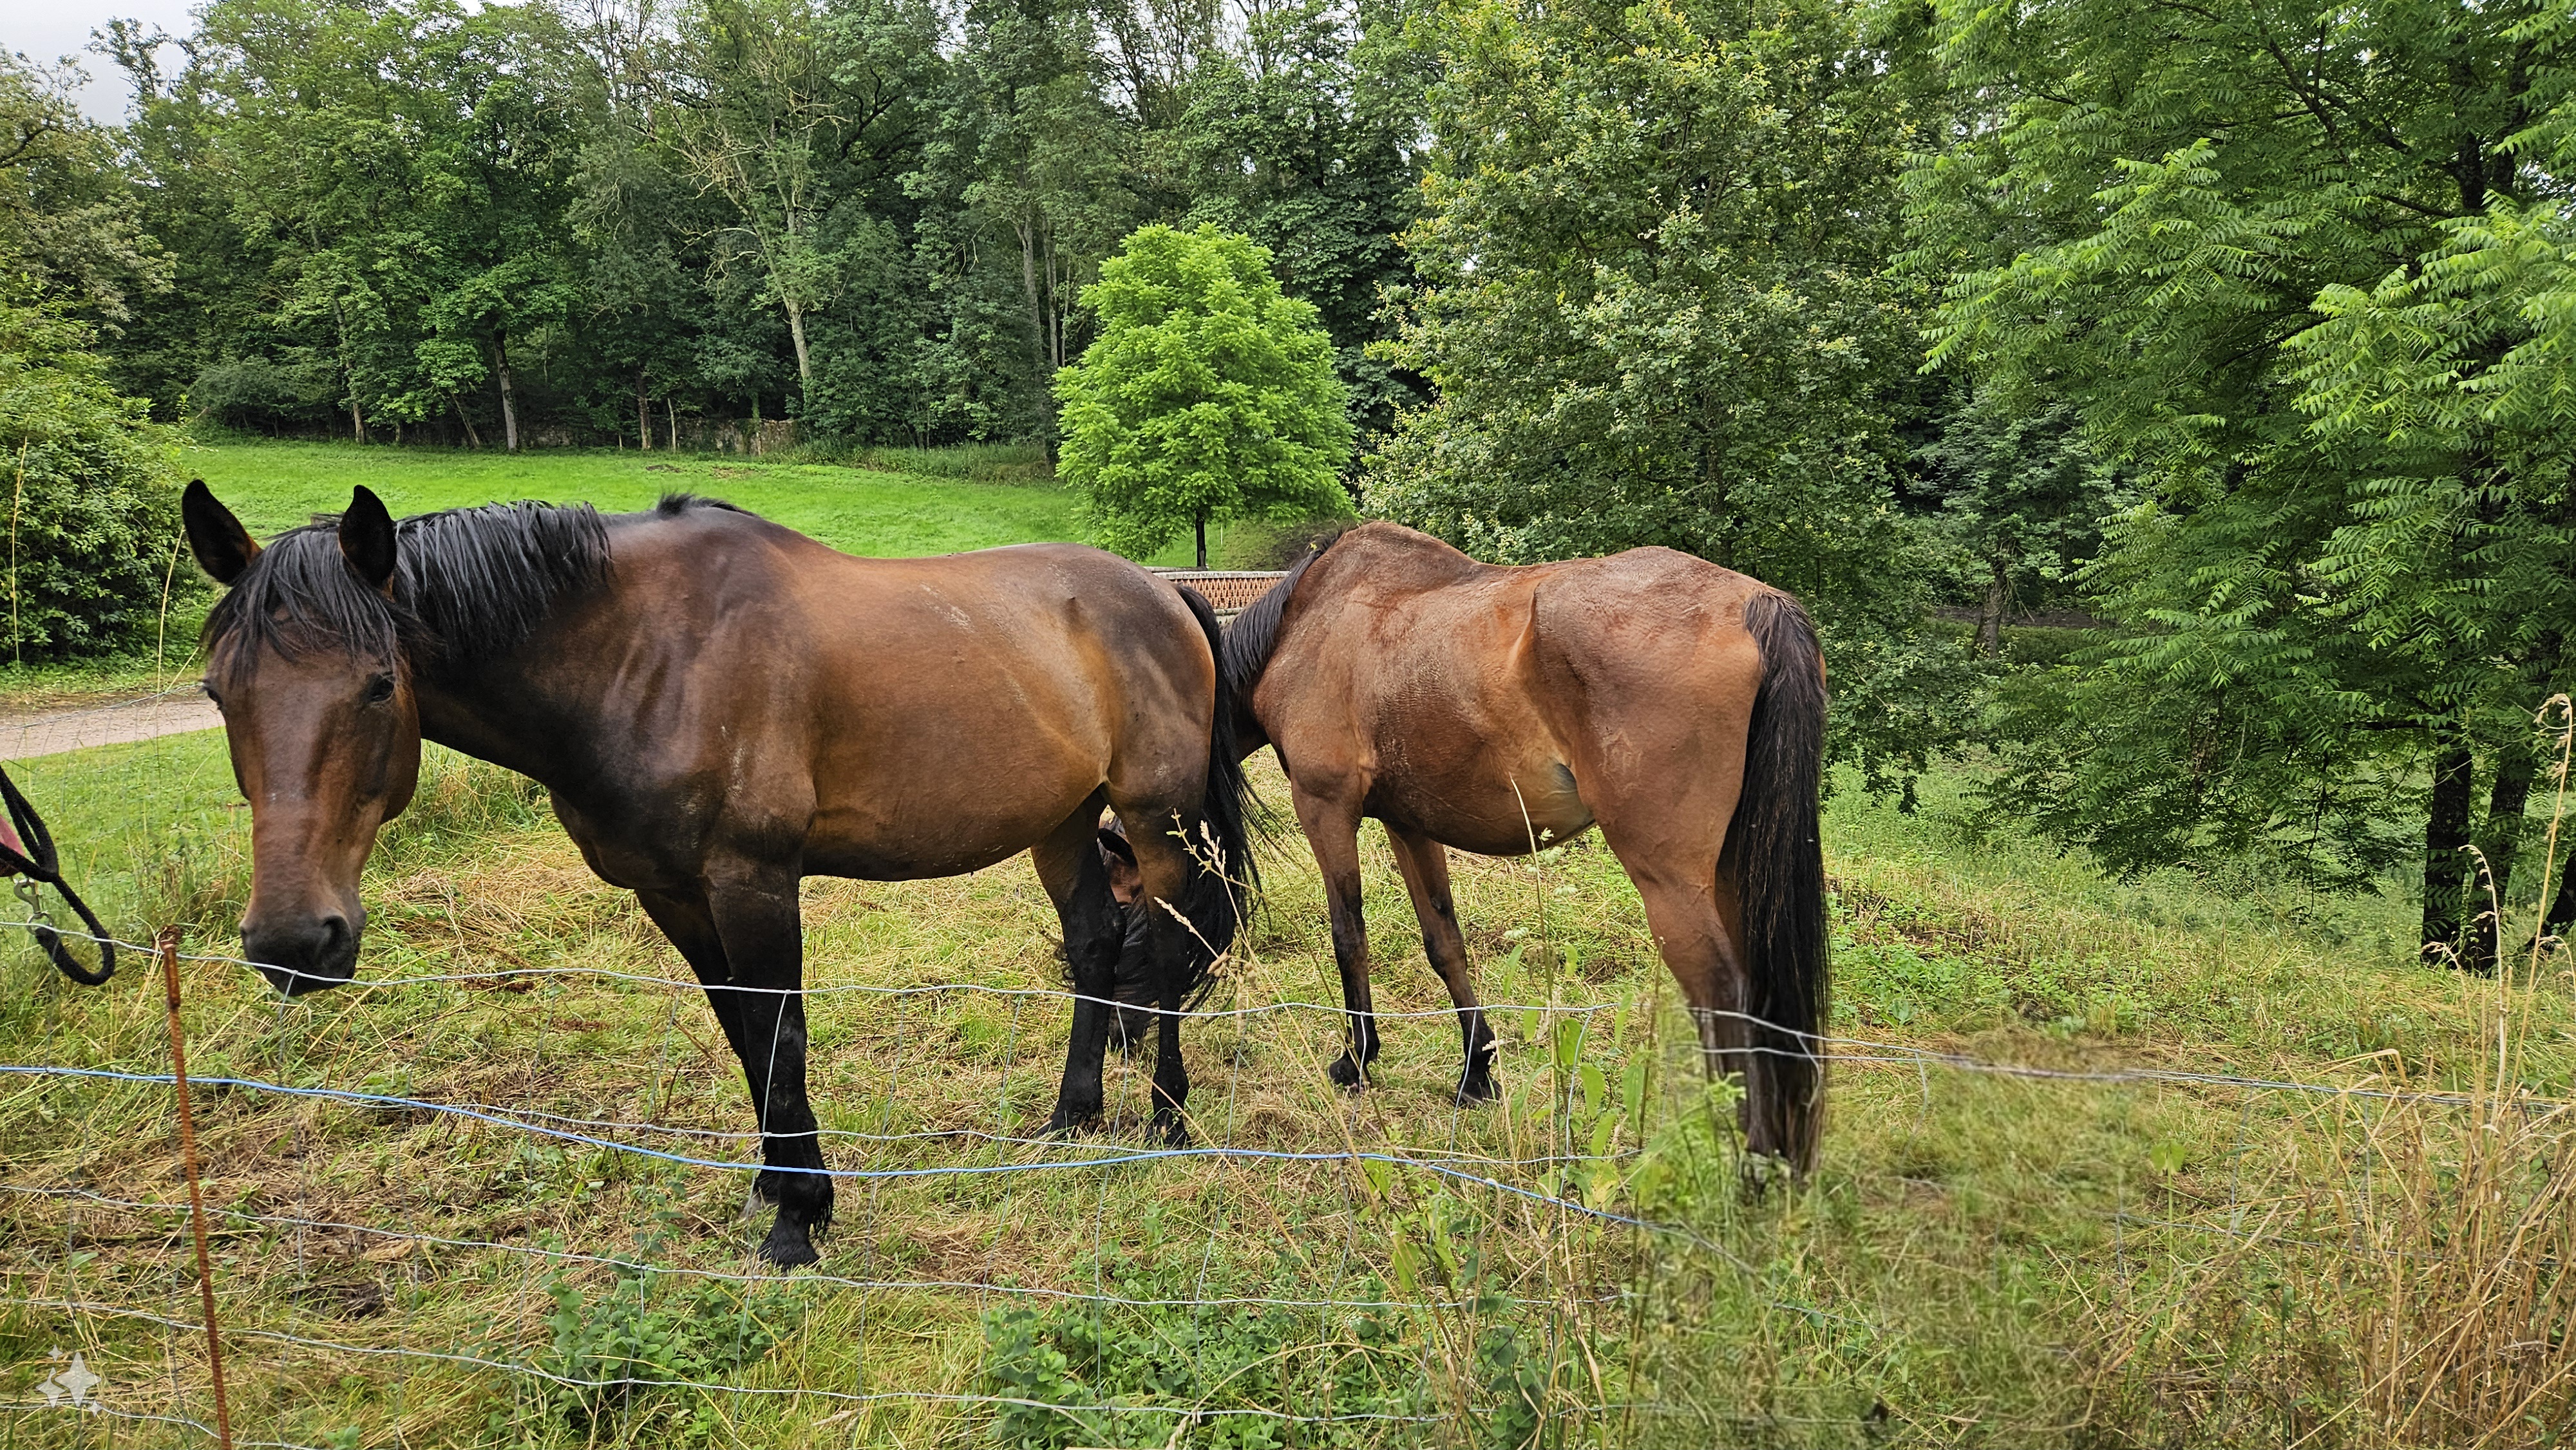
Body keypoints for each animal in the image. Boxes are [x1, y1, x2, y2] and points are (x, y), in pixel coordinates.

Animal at [184, 482, 1257, 1267]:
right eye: (219, 691)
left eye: (377, 685)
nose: (293, 940)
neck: (643, 655)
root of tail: (1164, 593)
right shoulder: (674, 895)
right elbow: (742, 1033)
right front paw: (778, 1190)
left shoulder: (752, 882)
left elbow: (781, 1036)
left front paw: (797, 1227)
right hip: (1064, 822)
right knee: (1095, 941)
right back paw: (1071, 1119)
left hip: (1156, 819)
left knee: (1168, 950)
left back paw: (1167, 1121)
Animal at [1221, 528, 1834, 1174]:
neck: (1304, 628)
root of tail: (1754, 604)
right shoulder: (1408, 824)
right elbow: (1445, 944)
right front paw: (1476, 1072)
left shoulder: (1325, 807)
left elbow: (1348, 936)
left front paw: (1357, 1060)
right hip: (1734, 875)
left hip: (1672, 886)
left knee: (1726, 1000)